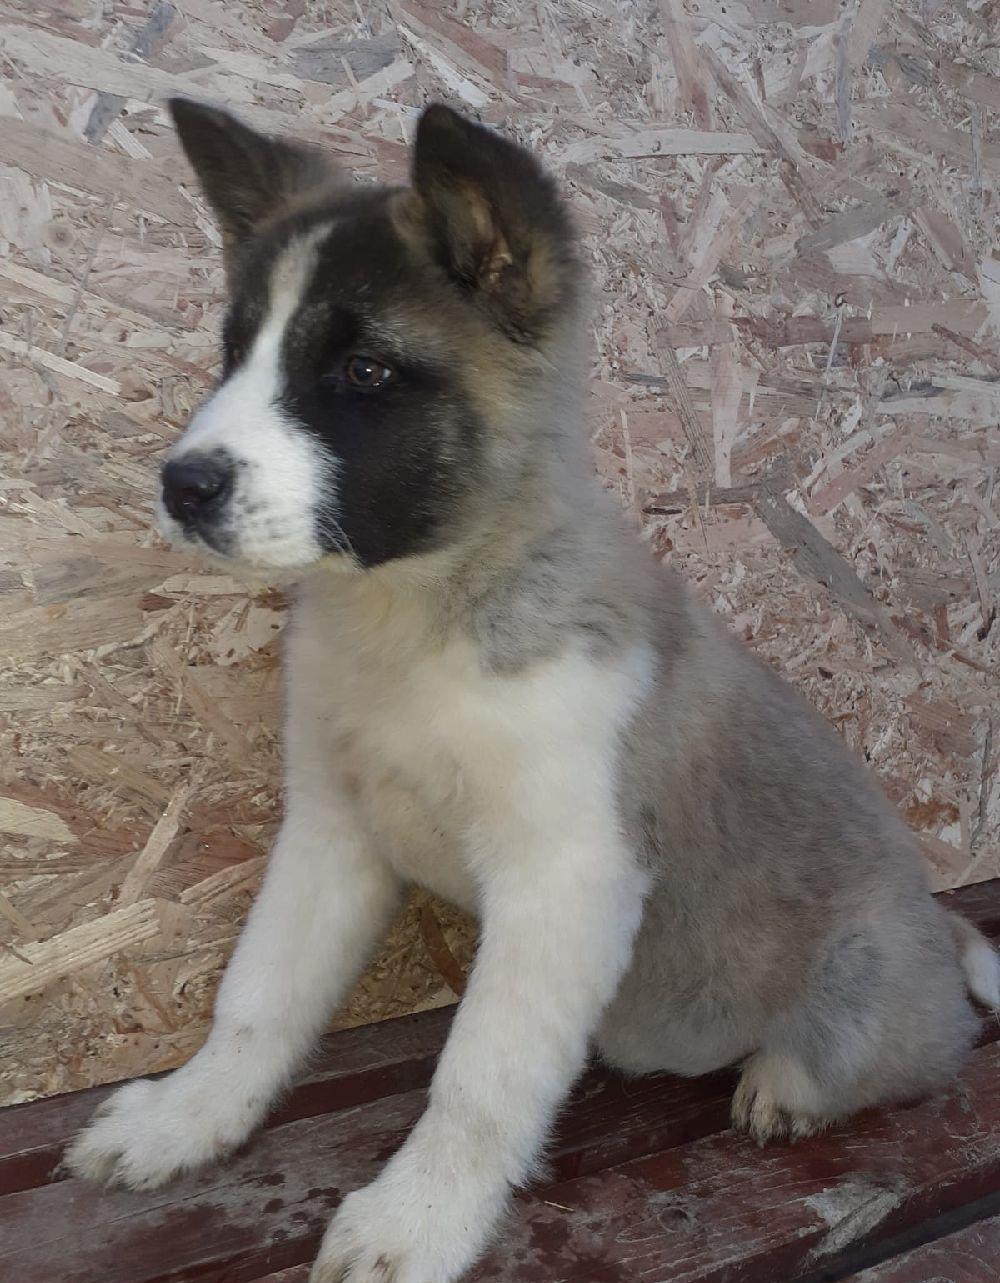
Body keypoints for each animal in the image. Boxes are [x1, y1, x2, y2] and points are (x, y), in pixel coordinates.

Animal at [65, 100, 999, 1283]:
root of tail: (935, 927)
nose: (182, 485)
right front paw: (185, 1120)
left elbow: (476, 1080)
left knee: (913, 1049)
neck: (422, 616)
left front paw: (415, 1221)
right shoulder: (330, 831)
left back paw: (788, 1083)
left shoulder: (566, 877)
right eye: (234, 351)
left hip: (862, 981)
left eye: (362, 372)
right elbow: (255, 1000)